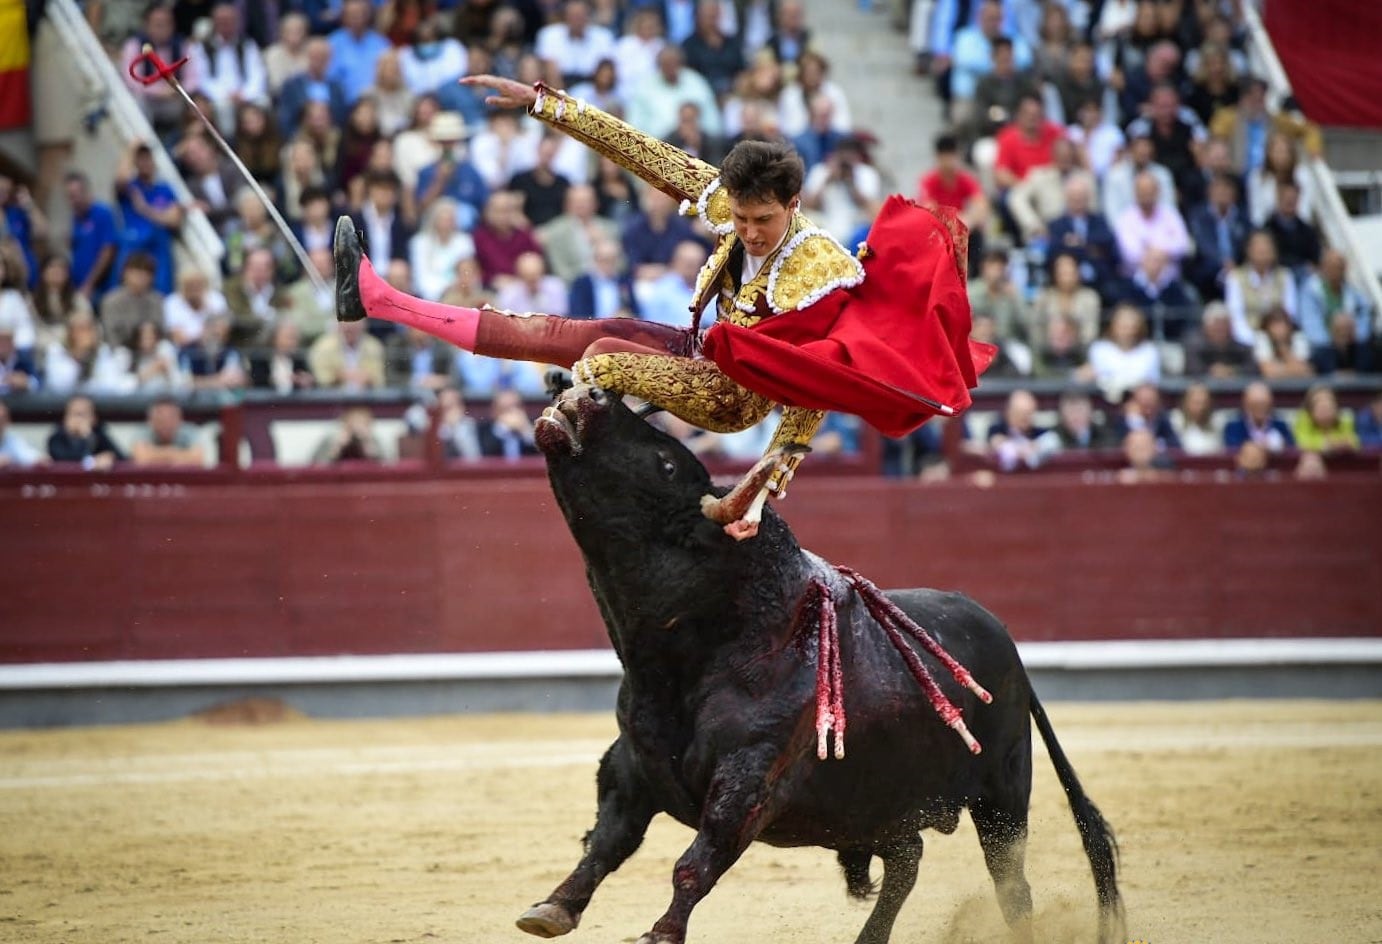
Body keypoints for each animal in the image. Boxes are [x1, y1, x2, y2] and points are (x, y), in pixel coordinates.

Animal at [519, 384, 1122, 944]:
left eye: (666, 463)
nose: (586, 393)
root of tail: (1003, 637)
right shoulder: (630, 765)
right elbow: (607, 841)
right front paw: (552, 908)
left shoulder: (750, 779)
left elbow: (696, 860)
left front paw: (661, 933)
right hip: (873, 805)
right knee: (908, 859)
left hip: (1002, 792)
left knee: (1010, 885)